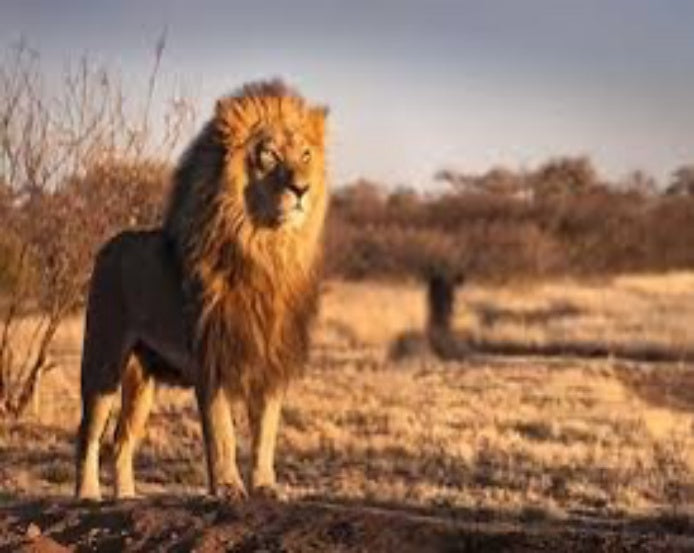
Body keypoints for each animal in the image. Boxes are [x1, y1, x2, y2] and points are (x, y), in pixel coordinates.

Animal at [75, 80, 329, 501]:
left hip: (142, 379)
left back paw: (125, 497)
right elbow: (222, 431)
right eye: (269, 155)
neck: (265, 250)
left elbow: (266, 432)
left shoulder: (270, 358)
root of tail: (107, 246)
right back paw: (87, 495)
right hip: (103, 358)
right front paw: (227, 487)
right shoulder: (212, 355)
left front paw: (265, 485)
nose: (302, 189)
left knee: (121, 440)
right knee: (88, 433)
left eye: (306, 154)